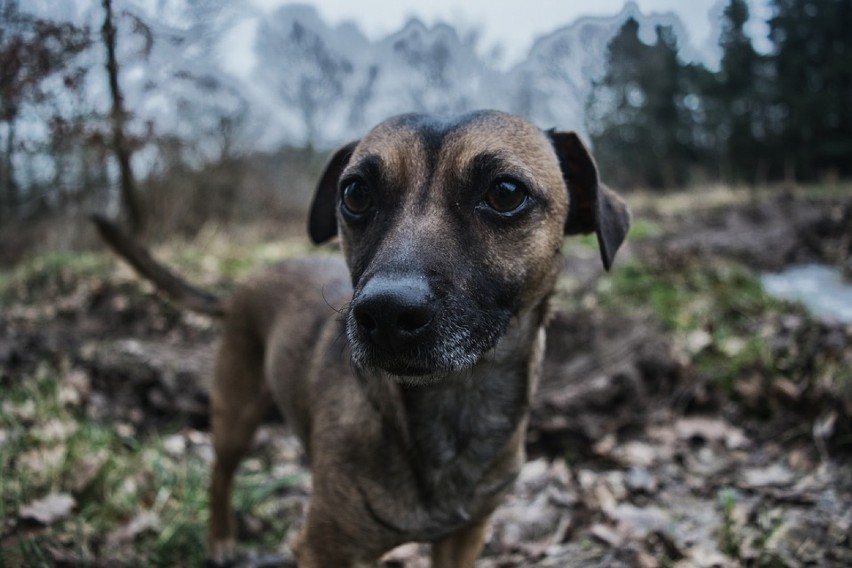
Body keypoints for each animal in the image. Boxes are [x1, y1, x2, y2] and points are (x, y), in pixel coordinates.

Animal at [93, 108, 628, 564]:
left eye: (505, 192)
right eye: (355, 194)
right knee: (220, 474)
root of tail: (246, 283)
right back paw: (221, 538)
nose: (387, 313)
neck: (452, 404)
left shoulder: (463, 538)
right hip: (235, 415)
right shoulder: (327, 551)